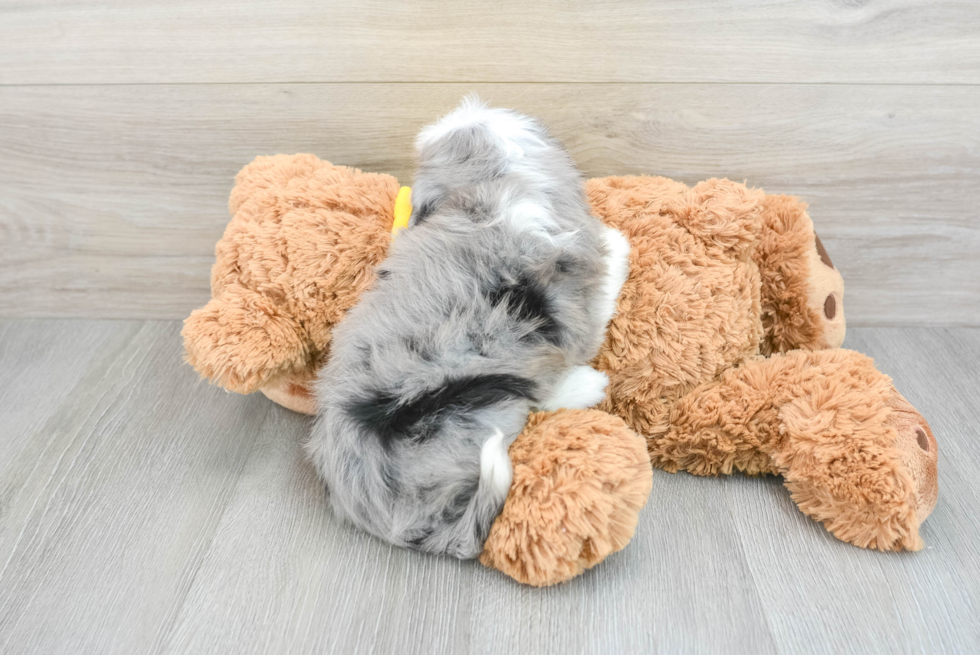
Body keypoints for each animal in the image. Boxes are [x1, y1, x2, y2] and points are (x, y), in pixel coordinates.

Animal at [308, 96, 628, 560]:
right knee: (537, 397)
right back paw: (587, 385)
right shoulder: (580, 308)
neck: (490, 189)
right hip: (487, 395)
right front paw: (620, 242)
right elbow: (607, 286)